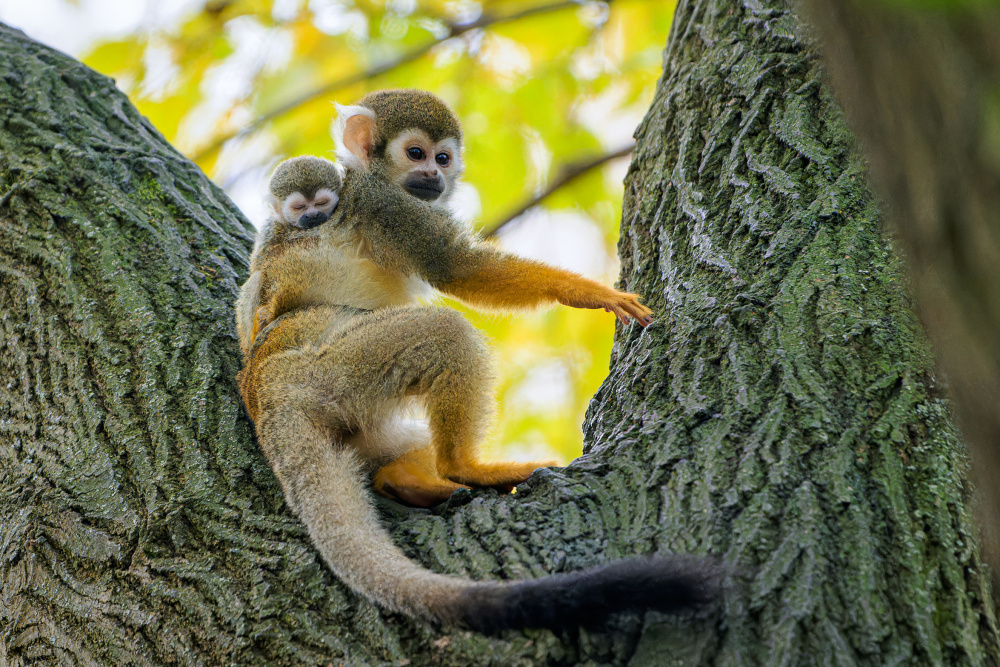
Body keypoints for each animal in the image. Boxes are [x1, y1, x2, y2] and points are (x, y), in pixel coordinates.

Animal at [236, 91, 720, 636]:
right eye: (416, 154)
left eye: (444, 158)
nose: (434, 177)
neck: (366, 178)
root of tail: (261, 384)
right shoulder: (387, 206)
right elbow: (458, 269)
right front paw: (584, 291)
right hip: (328, 369)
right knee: (442, 332)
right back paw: (463, 466)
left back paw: (404, 479)